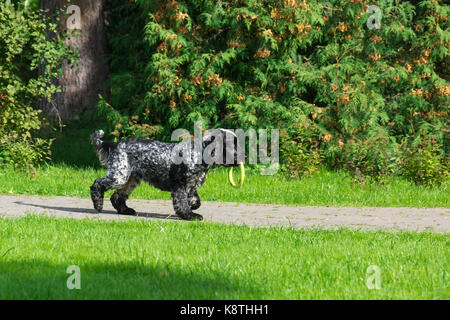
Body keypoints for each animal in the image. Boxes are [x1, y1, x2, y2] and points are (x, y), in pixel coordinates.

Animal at [89, 128, 244, 220]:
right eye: (232, 144)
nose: (246, 156)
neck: (198, 153)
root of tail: (115, 144)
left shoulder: (191, 185)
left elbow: (196, 201)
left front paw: (193, 207)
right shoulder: (180, 185)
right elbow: (182, 203)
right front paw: (190, 215)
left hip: (130, 179)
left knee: (117, 197)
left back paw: (125, 210)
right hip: (119, 176)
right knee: (97, 184)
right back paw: (98, 204)